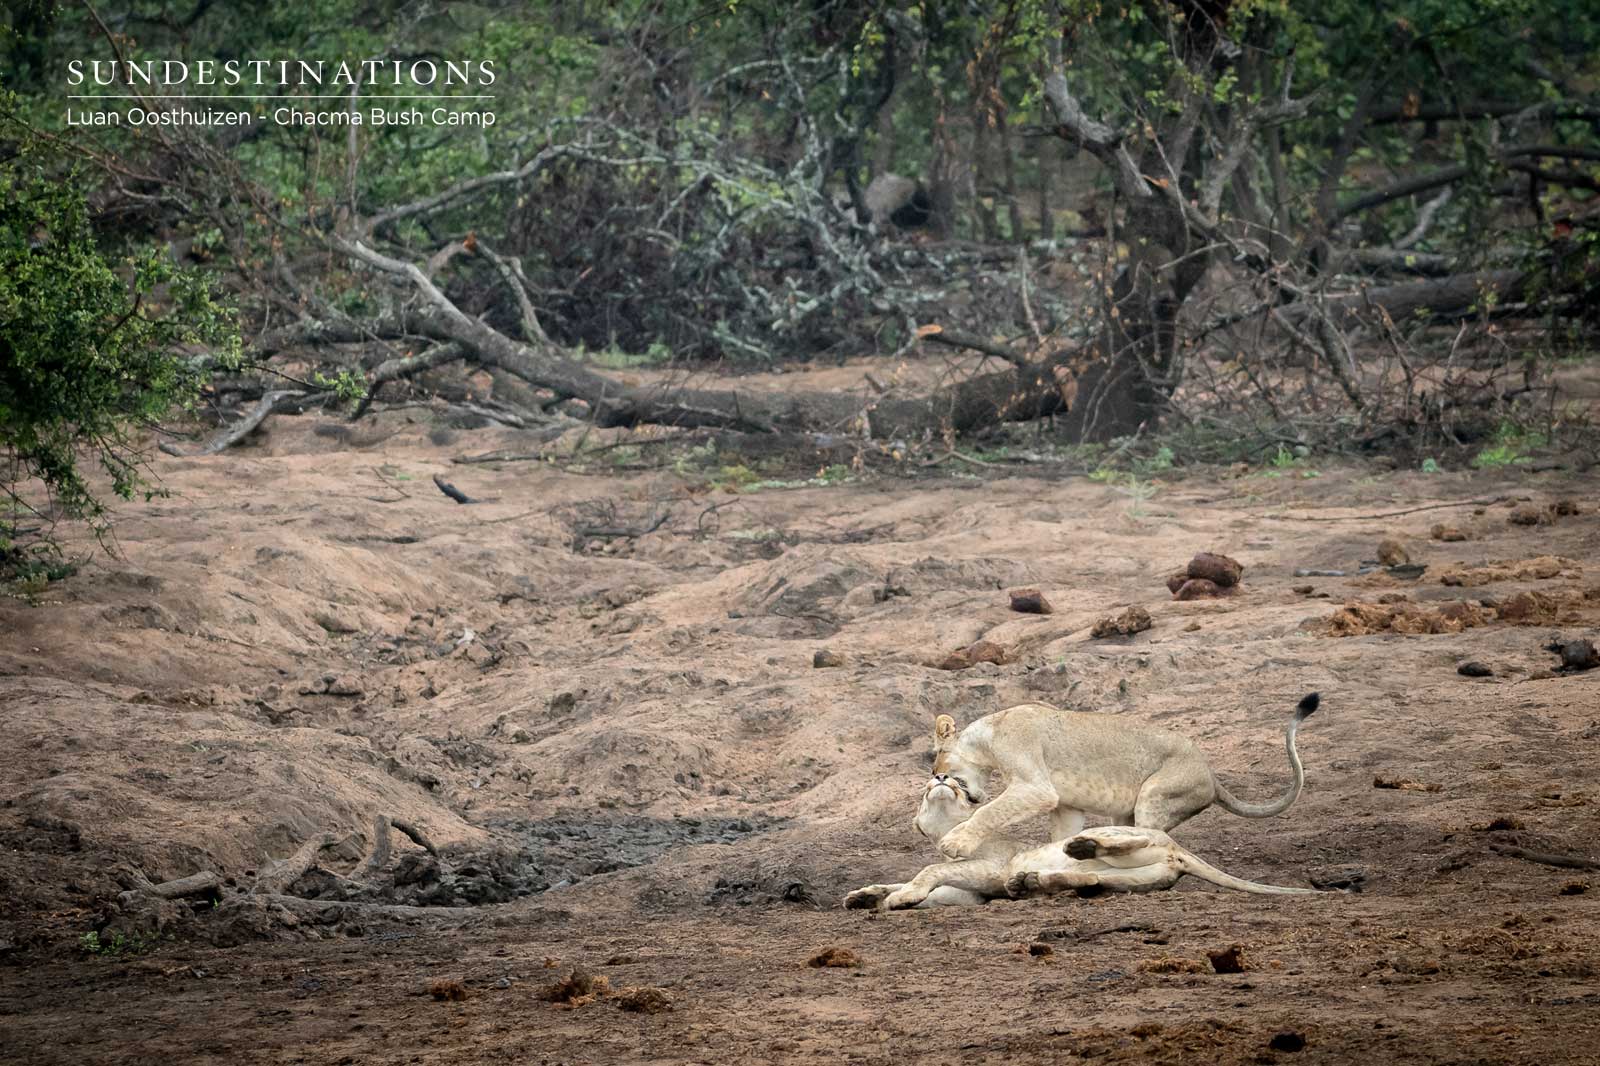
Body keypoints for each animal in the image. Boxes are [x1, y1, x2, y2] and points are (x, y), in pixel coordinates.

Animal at [844, 771, 1319, 911]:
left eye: (958, 787)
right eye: (929, 787)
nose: (941, 777)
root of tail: (1179, 854)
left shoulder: (988, 869)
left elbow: (931, 867)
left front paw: (898, 897)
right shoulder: (972, 893)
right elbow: (912, 880)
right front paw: (865, 896)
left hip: (1130, 834)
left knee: (1117, 841)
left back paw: (1076, 850)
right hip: (1134, 877)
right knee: (1093, 881)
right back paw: (1034, 882)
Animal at [928, 693, 1320, 860]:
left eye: (936, 767)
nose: (935, 775)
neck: (989, 733)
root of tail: (1212, 777)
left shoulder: (1036, 787)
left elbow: (988, 811)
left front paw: (955, 843)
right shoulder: (1065, 805)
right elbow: (1059, 835)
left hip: (1156, 794)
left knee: (1156, 839)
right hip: (1126, 812)